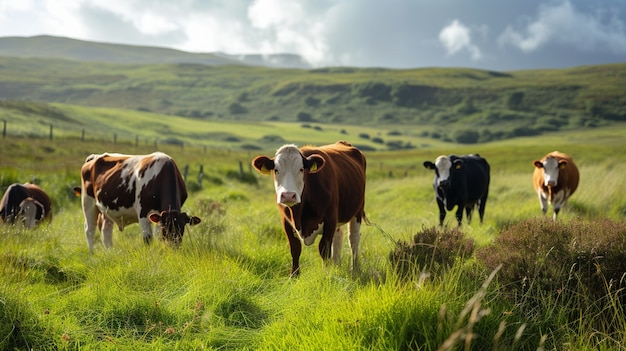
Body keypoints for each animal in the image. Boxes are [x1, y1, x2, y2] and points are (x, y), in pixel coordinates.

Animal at [250, 141, 366, 278]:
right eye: (276, 170)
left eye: (301, 169)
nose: (288, 195)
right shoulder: (286, 222)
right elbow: (295, 249)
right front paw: (294, 276)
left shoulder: (330, 220)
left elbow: (324, 249)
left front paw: (326, 274)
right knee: (338, 237)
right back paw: (337, 265)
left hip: (358, 210)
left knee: (353, 239)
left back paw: (355, 268)